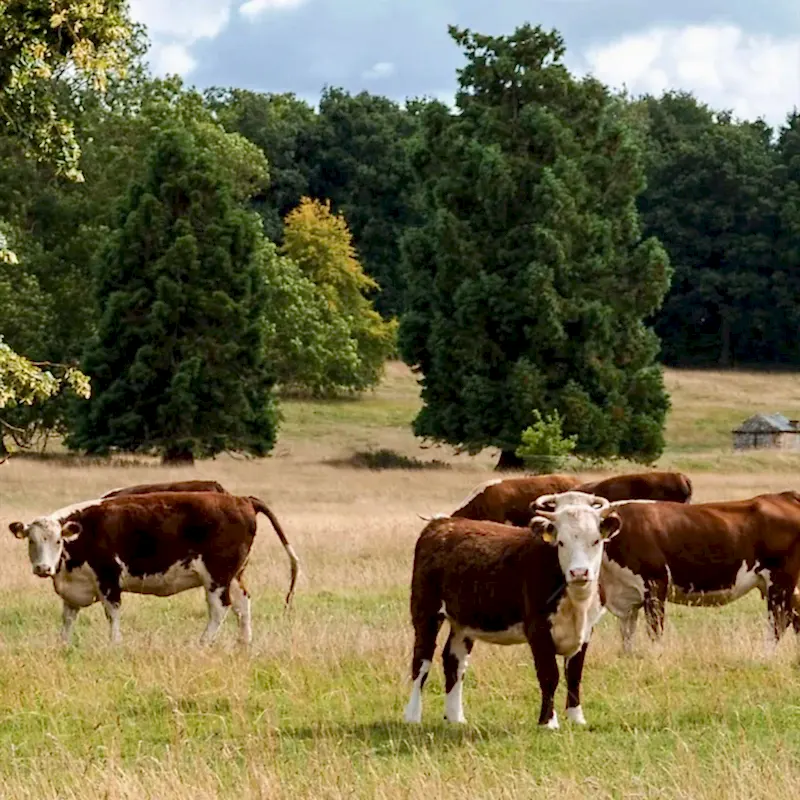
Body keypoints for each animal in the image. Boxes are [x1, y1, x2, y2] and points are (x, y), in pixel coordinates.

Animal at [9, 492, 300, 646]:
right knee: (243, 604)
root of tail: (241, 499)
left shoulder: (108, 579)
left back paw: (202, 643)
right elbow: (68, 619)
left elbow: (113, 614)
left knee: (220, 608)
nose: (43, 567)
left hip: (216, 577)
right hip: (234, 575)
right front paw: (64, 646)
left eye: (58, 540)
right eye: (32, 541)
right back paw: (243, 644)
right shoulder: (73, 588)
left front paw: (115, 644)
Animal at [404, 493, 622, 728]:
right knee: (422, 661)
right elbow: (549, 675)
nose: (579, 572)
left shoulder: (586, 630)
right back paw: (412, 715)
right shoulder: (538, 630)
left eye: (595, 541)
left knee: (454, 662)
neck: (577, 603)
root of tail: (442, 523)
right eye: (561, 542)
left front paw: (576, 718)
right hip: (426, 611)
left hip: (463, 622)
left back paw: (456, 717)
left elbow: (574, 675)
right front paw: (548, 722)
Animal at [534, 491, 800, 653]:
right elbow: (627, 635)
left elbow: (654, 630)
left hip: (780, 583)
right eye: (561, 541)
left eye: (595, 540)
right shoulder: (626, 598)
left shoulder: (655, 585)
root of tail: (784, 496)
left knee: (778, 622)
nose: (579, 572)